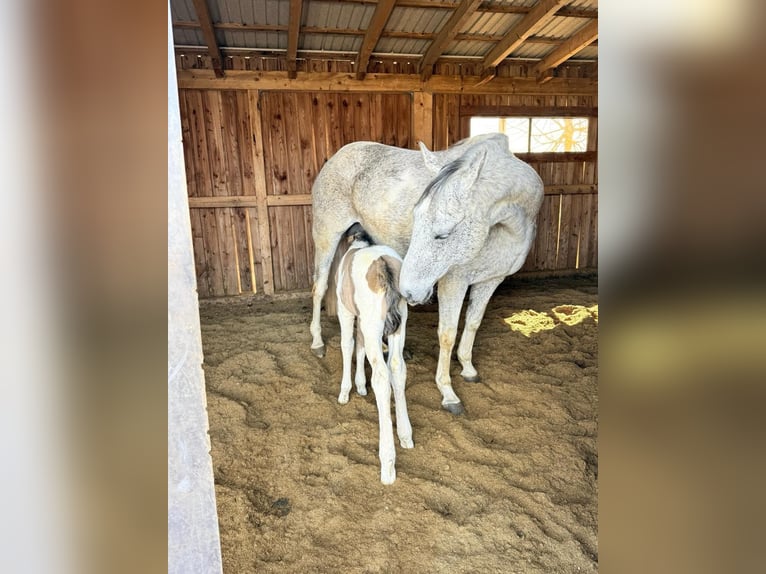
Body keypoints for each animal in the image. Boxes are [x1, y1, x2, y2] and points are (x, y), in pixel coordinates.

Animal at [311, 133, 544, 415]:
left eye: (443, 234)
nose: (410, 292)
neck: (508, 227)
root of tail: (336, 157)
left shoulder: (491, 280)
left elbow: (473, 324)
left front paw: (468, 368)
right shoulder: (453, 282)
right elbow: (447, 334)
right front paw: (448, 393)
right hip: (326, 239)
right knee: (319, 289)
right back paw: (317, 343)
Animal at [333, 224, 413, 485]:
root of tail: (383, 265)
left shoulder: (346, 312)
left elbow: (348, 344)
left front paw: (346, 391)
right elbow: (358, 346)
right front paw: (360, 386)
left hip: (373, 326)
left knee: (381, 376)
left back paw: (387, 463)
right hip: (399, 326)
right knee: (397, 367)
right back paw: (406, 435)